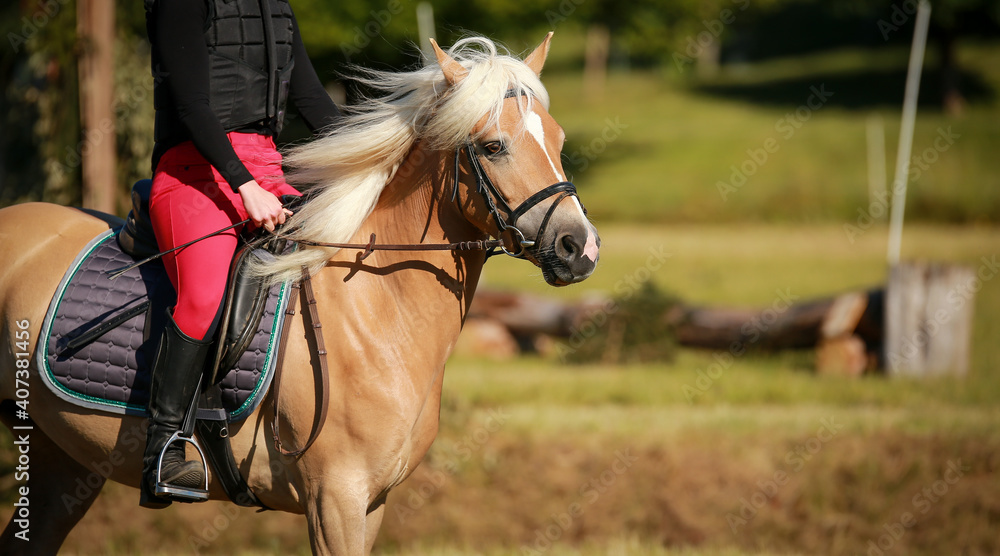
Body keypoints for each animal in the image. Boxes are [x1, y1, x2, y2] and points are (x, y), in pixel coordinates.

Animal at [0, 34, 599, 555]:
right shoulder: (335, 499)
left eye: (558, 140)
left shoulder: (371, 504)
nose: (580, 247)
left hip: (60, 460)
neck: (377, 310)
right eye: (493, 147)